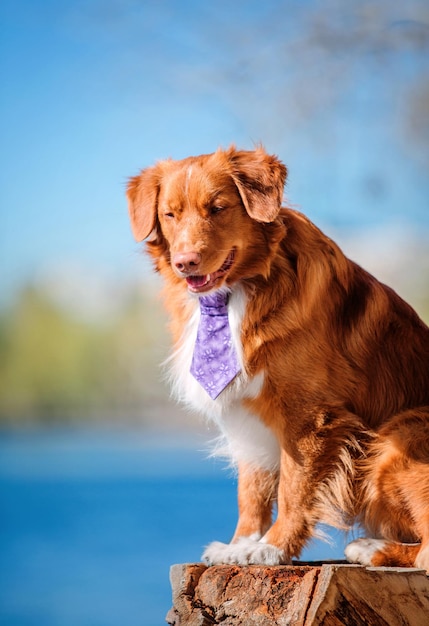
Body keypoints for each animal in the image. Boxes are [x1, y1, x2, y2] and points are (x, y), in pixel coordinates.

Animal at [126, 145, 428, 572]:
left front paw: (273, 547)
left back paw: (371, 548)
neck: (238, 291)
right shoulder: (247, 408)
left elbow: (293, 487)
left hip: (400, 434)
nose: (185, 261)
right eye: (170, 214)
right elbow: (251, 489)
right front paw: (241, 543)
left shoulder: (310, 417)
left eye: (217, 208)